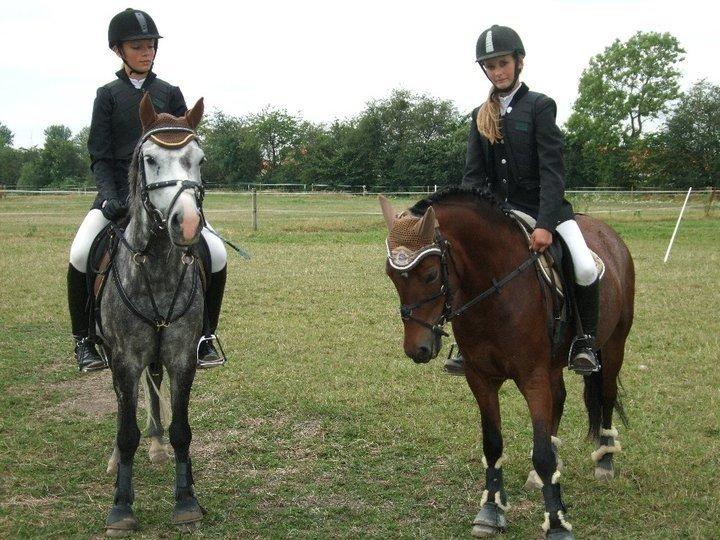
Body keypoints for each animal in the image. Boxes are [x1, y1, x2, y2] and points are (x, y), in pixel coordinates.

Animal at [98, 93, 209, 535]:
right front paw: (121, 508)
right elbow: (126, 431)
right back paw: (116, 460)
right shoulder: (125, 358)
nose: (188, 224)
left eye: (199, 159)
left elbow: (182, 430)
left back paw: (158, 446)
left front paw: (186, 499)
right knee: (120, 406)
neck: (158, 267)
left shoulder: (181, 356)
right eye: (149, 159)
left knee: (154, 381)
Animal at [380, 187, 634, 539]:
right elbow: (493, 444)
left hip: (613, 347)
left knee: (606, 395)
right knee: (560, 399)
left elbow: (541, 453)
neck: (494, 291)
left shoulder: (533, 377)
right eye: (391, 276)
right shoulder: (481, 378)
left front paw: (557, 522)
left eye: (430, 274)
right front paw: (491, 509)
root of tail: (610, 235)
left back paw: (605, 461)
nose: (417, 349)